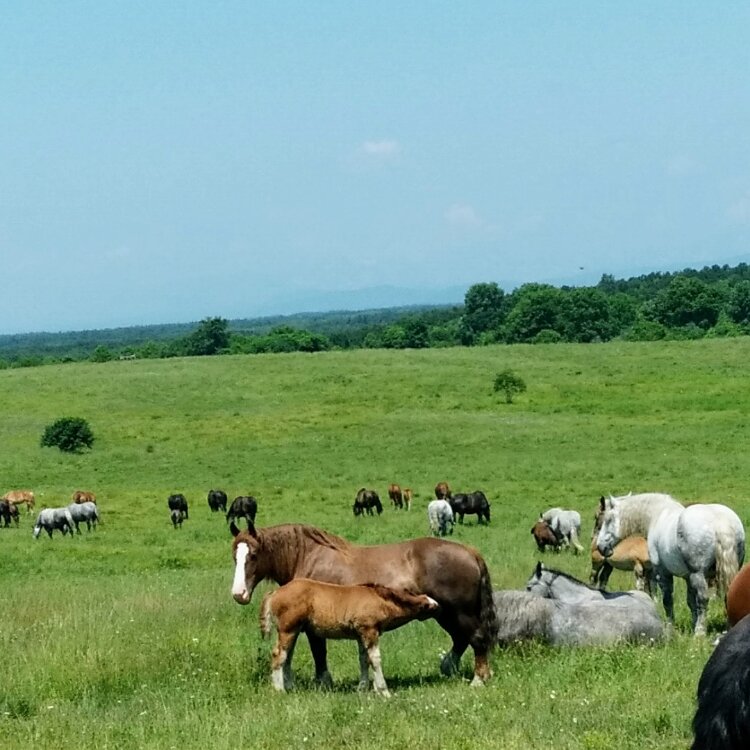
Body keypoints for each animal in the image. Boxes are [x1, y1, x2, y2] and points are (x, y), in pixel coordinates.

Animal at [229, 524, 500, 688]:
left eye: (253, 555)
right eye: (234, 557)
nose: (239, 593)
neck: (309, 557)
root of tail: (471, 552)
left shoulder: (312, 625)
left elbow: (319, 653)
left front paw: (324, 682)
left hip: (460, 612)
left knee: (476, 638)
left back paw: (478, 679)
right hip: (444, 613)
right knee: (461, 639)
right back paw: (450, 668)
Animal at [596, 496, 748, 636]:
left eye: (607, 520)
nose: (600, 547)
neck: (657, 514)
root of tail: (720, 523)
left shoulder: (662, 572)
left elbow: (667, 601)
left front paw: (670, 628)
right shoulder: (688, 578)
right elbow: (691, 602)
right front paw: (693, 623)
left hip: (698, 575)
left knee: (703, 599)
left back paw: (700, 633)